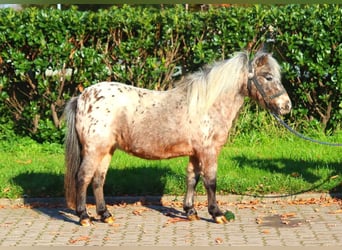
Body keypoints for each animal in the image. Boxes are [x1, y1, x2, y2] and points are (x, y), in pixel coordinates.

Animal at [64, 50, 292, 227]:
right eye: (268, 77)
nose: (286, 106)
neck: (206, 105)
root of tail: (82, 97)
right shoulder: (209, 152)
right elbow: (211, 182)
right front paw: (217, 214)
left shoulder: (195, 153)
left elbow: (192, 178)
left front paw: (190, 212)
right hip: (94, 151)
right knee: (83, 178)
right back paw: (84, 217)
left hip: (106, 150)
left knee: (98, 180)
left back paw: (105, 215)